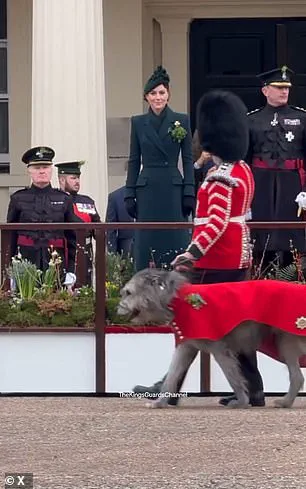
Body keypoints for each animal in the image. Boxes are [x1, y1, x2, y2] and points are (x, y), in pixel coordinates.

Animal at [116, 266, 306, 408]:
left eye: (128, 292)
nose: (117, 308)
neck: (176, 300)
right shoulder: (186, 344)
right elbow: (173, 373)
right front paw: (160, 401)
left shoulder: (219, 347)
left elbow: (231, 375)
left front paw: (241, 401)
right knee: (297, 376)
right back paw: (285, 402)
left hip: (287, 339)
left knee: (297, 376)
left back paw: (284, 401)